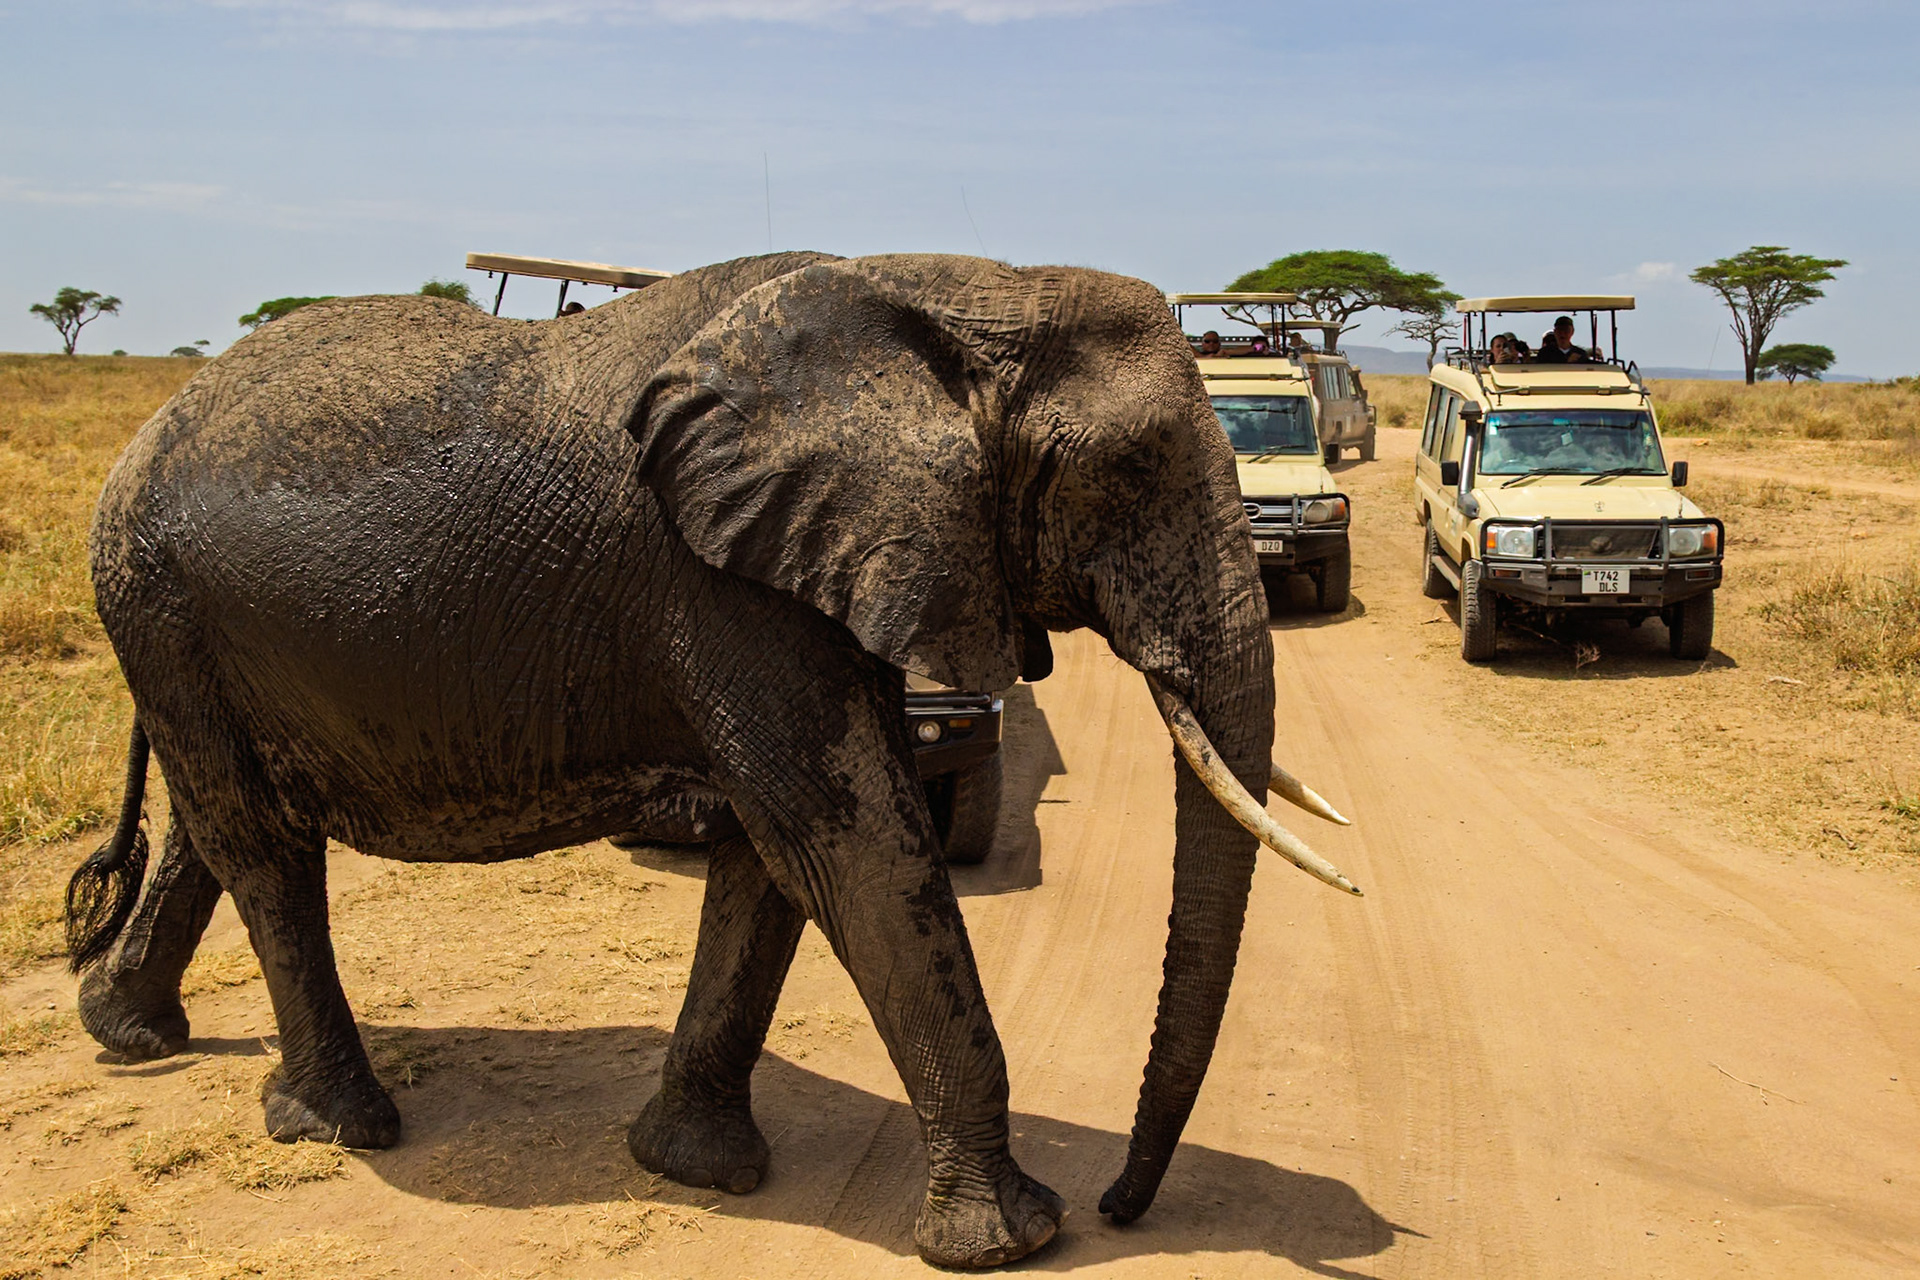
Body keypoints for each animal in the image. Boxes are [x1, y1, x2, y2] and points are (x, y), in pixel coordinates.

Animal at [66, 250, 1358, 1269]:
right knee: (263, 845)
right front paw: (1015, 1237)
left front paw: (694, 1164)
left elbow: (770, 857)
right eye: (1128, 474)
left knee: (210, 825)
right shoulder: (723, 585)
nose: (1125, 1202)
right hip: (156, 595)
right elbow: (844, 837)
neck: (960, 295)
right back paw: (339, 1123)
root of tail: (136, 439)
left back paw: (127, 1032)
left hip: (183, 627)